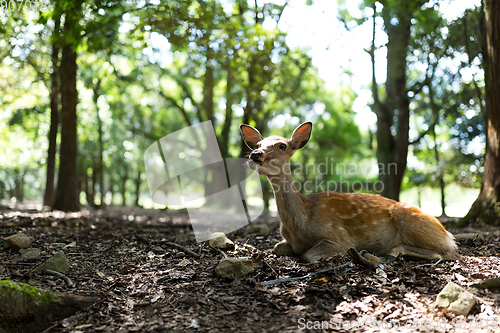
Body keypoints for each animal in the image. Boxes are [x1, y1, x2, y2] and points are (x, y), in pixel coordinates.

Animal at [240, 121, 458, 262]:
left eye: (282, 145)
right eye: (258, 144)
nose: (255, 154)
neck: (299, 226)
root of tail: (448, 233)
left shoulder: (340, 237)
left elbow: (308, 255)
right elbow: (276, 247)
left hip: (412, 221)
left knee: (449, 252)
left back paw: (390, 252)